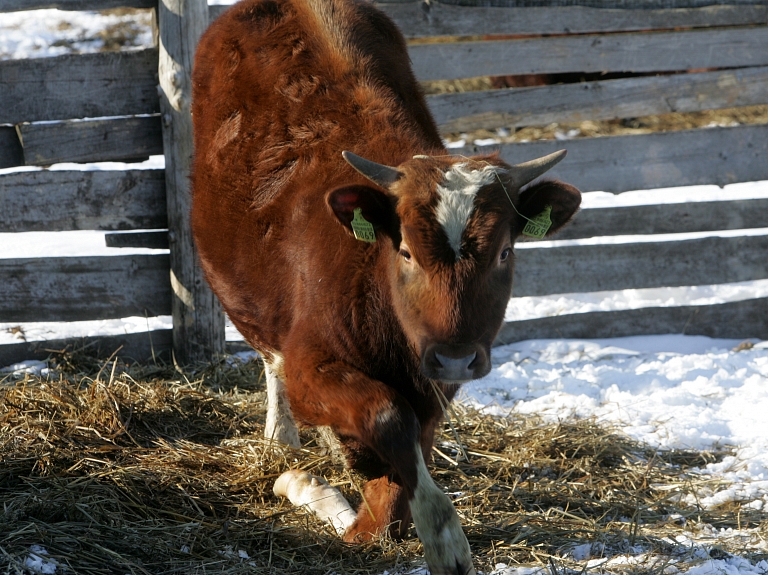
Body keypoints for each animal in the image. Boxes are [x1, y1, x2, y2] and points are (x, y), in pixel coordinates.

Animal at [189, 1, 580, 575]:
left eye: (504, 253)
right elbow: (386, 419)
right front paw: (441, 536)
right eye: (406, 252)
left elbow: (400, 469)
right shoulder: (313, 366)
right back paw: (285, 440)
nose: (457, 357)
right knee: (273, 364)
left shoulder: (432, 385)